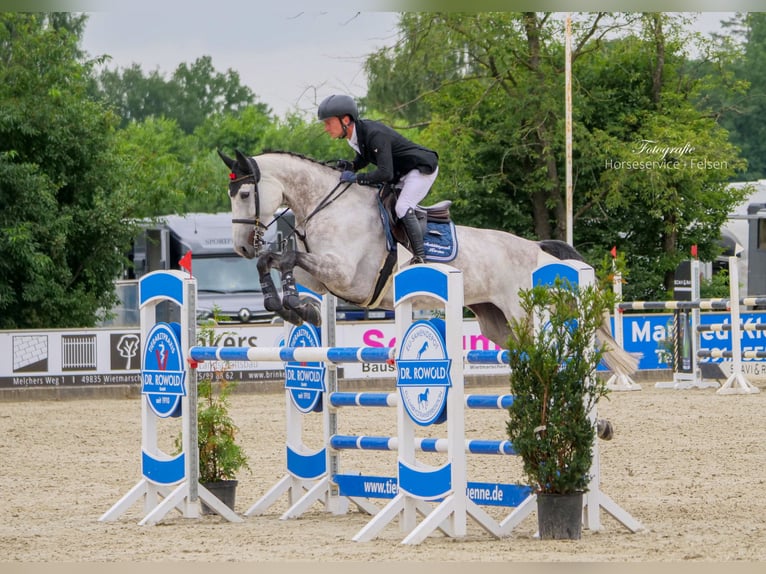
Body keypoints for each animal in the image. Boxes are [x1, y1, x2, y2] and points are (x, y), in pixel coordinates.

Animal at [217, 149, 638, 377]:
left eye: (244, 193)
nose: (240, 247)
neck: (326, 204)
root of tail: (539, 250)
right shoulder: (322, 279)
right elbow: (275, 260)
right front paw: (292, 307)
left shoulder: (347, 277)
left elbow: (284, 255)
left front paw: (295, 307)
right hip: (498, 323)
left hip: (526, 316)